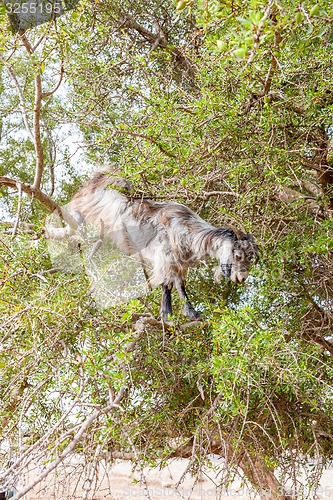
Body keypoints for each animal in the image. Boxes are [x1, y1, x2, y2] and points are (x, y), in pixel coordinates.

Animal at [45, 171, 256, 320]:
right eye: (237, 255)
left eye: (251, 257)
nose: (242, 277)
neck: (185, 228)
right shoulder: (165, 255)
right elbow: (173, 283)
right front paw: (184, 314)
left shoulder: (176, 262)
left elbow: (171, 284)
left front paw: (170, 314)